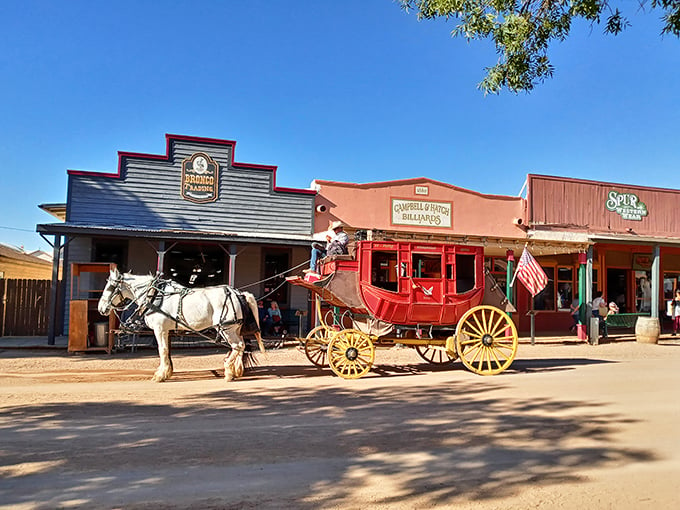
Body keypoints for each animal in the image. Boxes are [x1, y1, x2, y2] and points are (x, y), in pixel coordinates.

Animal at [97, 268, 264, 380]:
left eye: (110, 287)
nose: (101, 308)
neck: (155, 296)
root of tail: (238, 293)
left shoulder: (160, 329)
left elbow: (162, 350)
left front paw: (160, 375)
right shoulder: (166, 330)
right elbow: (167, 350)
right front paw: (166, 371)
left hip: (226, 328)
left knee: (238, 346)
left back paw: (229, 371)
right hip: (233, 329)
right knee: (241, 346)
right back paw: (237, 370)